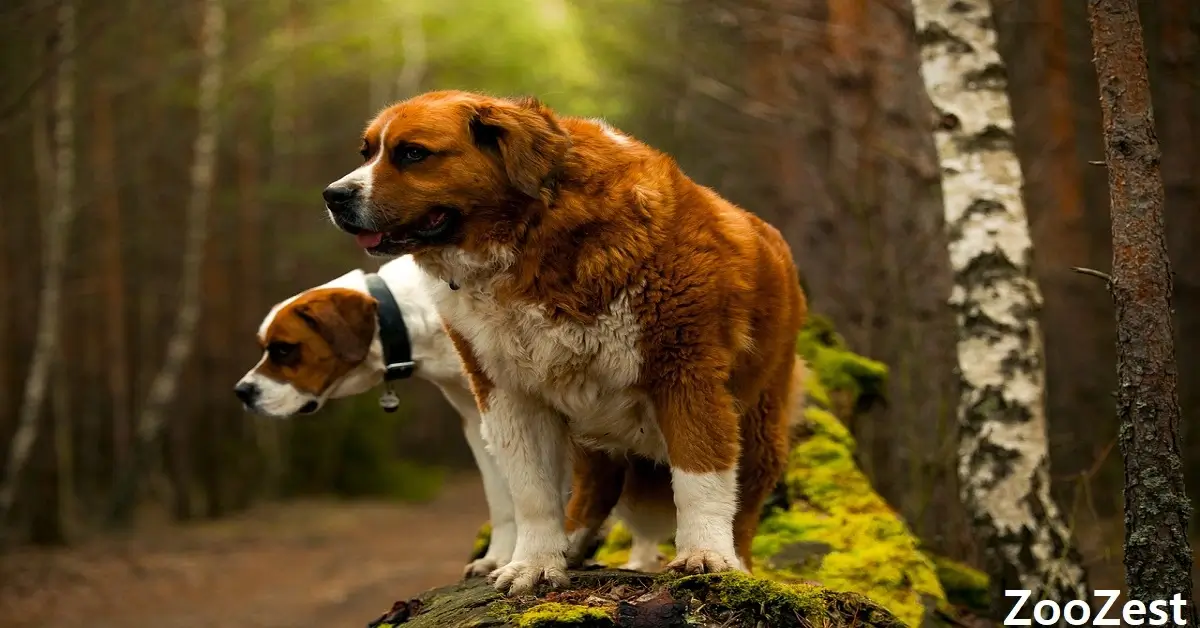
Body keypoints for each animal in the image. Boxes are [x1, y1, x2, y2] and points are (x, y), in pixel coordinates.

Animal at [319, 90, 806, 597]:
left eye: (412, 153)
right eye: (367, 153)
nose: (334, 195)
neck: (534, 235)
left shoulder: (686, 374)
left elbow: (699, 476)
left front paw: (706, 556)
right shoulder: (508, 393)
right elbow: (532, 492)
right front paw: (534, 563)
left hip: (761, 423)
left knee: (745, 501)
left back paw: (736, 559)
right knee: (595, 488)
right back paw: (569, 546)